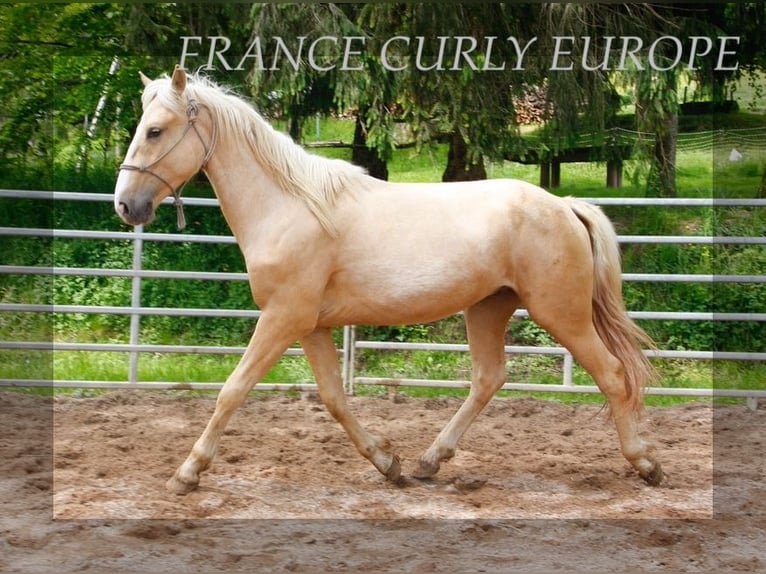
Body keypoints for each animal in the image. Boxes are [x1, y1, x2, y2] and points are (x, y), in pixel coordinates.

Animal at [115, 64, 664, 496]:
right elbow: (334, 399)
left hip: (560, 313)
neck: (291, 207)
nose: (125, 205)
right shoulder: (310, 325)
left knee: (613, 374)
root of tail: (564, 206)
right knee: (489, 379)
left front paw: (187, 473)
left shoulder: (282, 318)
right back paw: (427, 462)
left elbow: (232, 389)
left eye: (156, 131)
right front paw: (388, 463)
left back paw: (647, 465)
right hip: (489, 308)